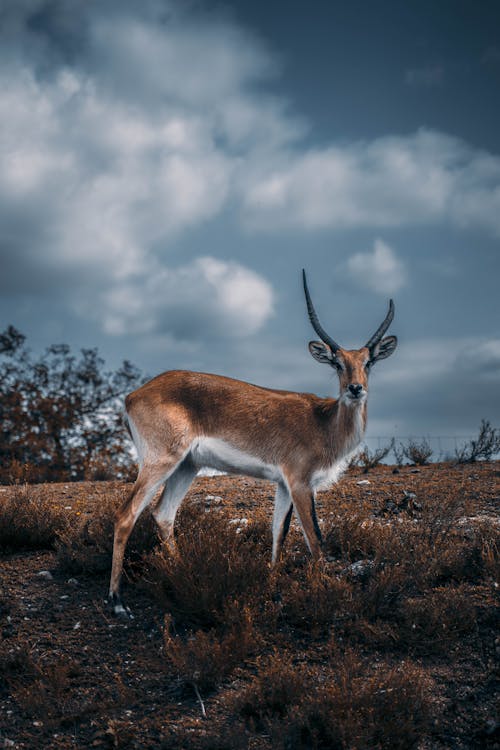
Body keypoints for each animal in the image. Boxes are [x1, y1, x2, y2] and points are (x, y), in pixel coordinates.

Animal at [107, 270, 396, 616]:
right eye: (337, 363)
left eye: (369, 362)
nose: (355, 388)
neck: (324, 423)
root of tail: (133, 395)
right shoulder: (300, 482)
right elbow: (314, 537)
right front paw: (328, 594)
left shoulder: (283, 484)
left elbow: (278, 534)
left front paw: (272, 590)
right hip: (161, 461)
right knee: (126, 515)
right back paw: (117, 602)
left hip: (187, 466)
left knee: (163, 514)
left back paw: (183, 576)